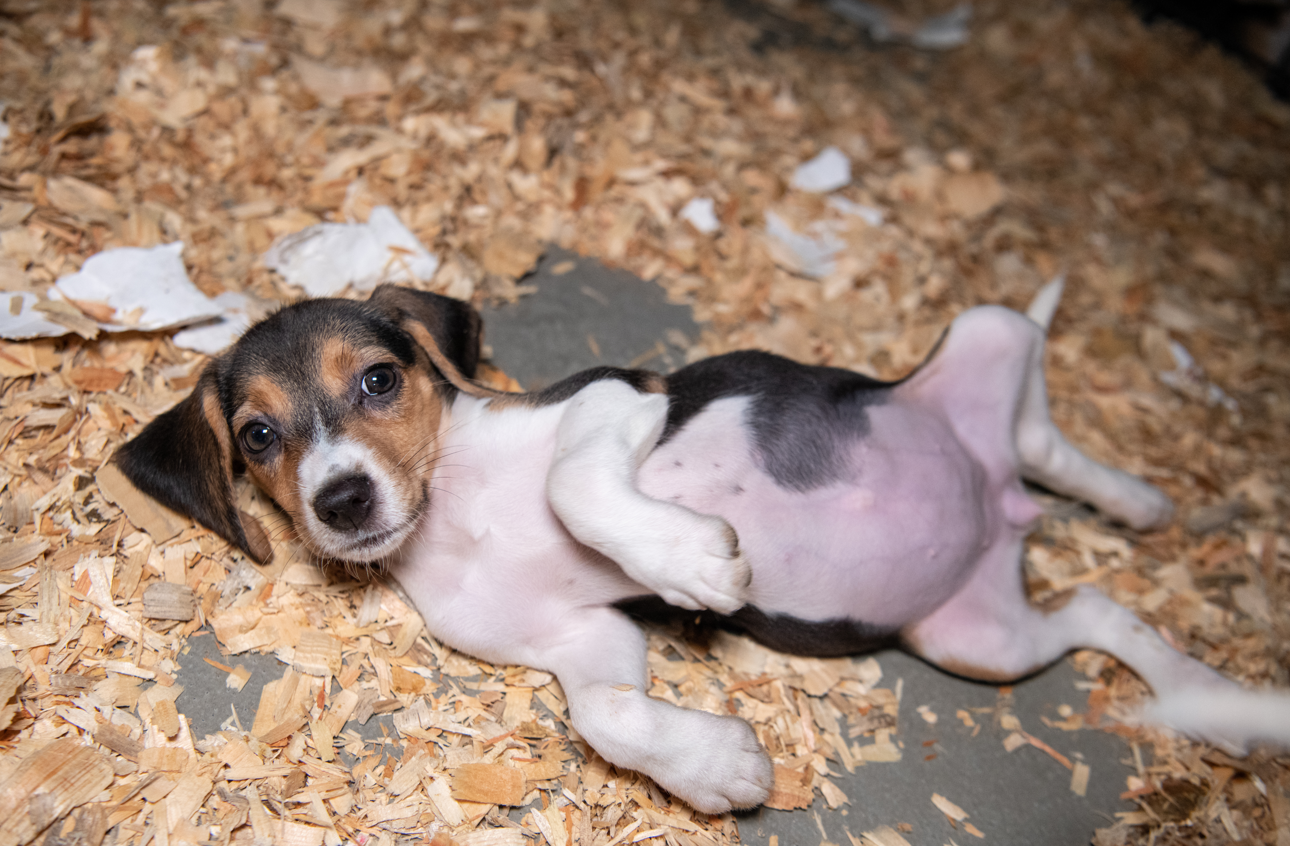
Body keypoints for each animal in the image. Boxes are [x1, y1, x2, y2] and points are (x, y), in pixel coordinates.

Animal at [118, 282, 1290, 815]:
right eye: (257, 437)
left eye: (379, 380)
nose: (346, 500)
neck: (457, 510)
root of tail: (999, 504)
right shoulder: (582, 642)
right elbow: (606, 716)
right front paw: (717, 765)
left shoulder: (618, 402)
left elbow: (575, 484)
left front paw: (691, 562)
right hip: (977, 640)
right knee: (1096, 604)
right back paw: (1208, 683)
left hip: (985, 329)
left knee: (1042, 419)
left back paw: (1136, 499)